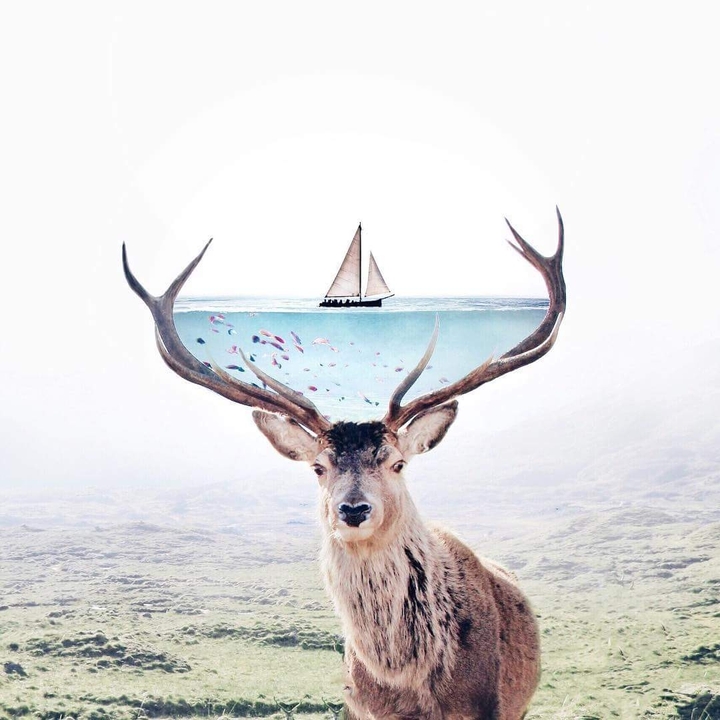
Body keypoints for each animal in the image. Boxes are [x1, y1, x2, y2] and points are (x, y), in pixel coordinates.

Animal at [123, 209, 566, 720]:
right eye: (319, 467)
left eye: (397, 463)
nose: (353, 510)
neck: (412, 688)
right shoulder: (357, 707)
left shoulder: (488, 706)